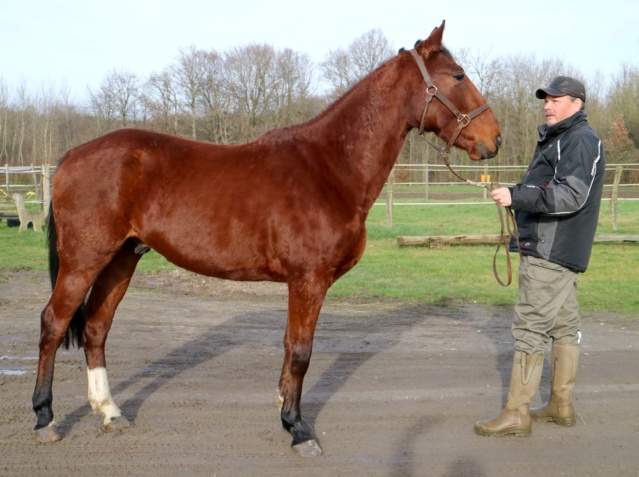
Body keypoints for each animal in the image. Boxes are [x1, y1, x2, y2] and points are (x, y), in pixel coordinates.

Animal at [33, 21, 504, 454]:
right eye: (458, 75)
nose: (494, 139)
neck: (330, 167)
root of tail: (72, 155)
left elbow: (289, 349)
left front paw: (284, 410)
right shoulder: (308, 280)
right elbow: (300, 351)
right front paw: (297, 428)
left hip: (122, 258)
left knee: (96, 327)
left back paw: (110, 412)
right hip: (84, 259)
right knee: (54, 323)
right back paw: (44, 418)